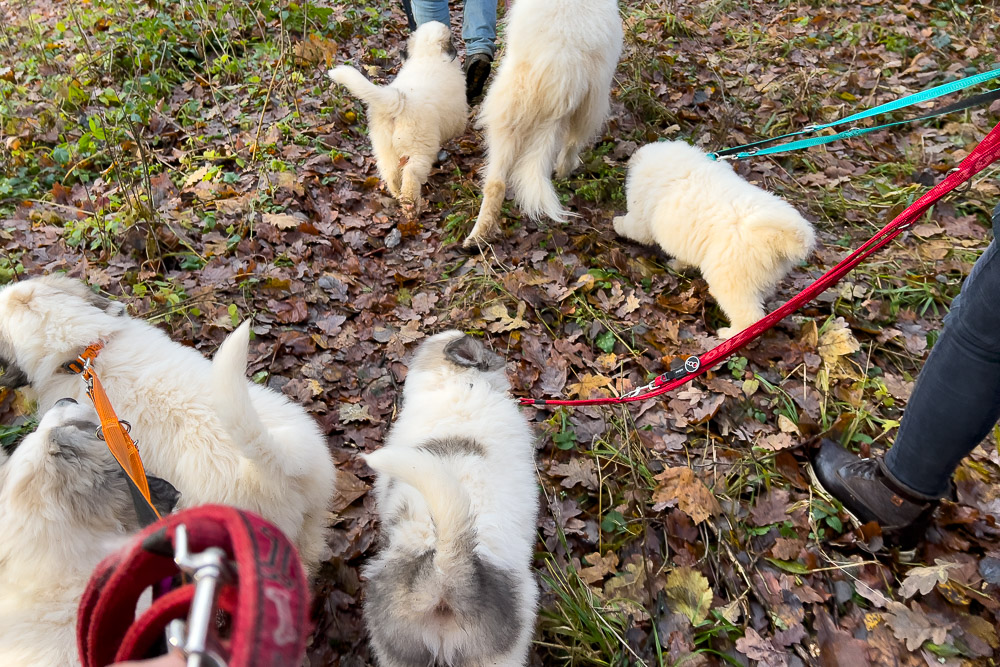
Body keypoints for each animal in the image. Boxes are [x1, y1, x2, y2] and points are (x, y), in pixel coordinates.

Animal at [328, 21, 468, 217]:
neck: (428, 54)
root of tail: (399, 101)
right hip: (419, 147)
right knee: (411, 173)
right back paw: (410, 205)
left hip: (384, 146)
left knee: (390, 172)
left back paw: (396, 193)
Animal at [464, 0, 620, 249]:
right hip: (589, 104)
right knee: (571, 143)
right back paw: (565, 170)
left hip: (506, 116)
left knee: (496, 183)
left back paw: (476, 237)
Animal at [612, 141, 816, 340]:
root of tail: (783, 237)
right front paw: (676, 265)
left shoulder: (641, 215)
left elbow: (632, 227)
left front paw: (615, 223)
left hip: (730, 277)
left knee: (749, 316)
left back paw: (730, 335)